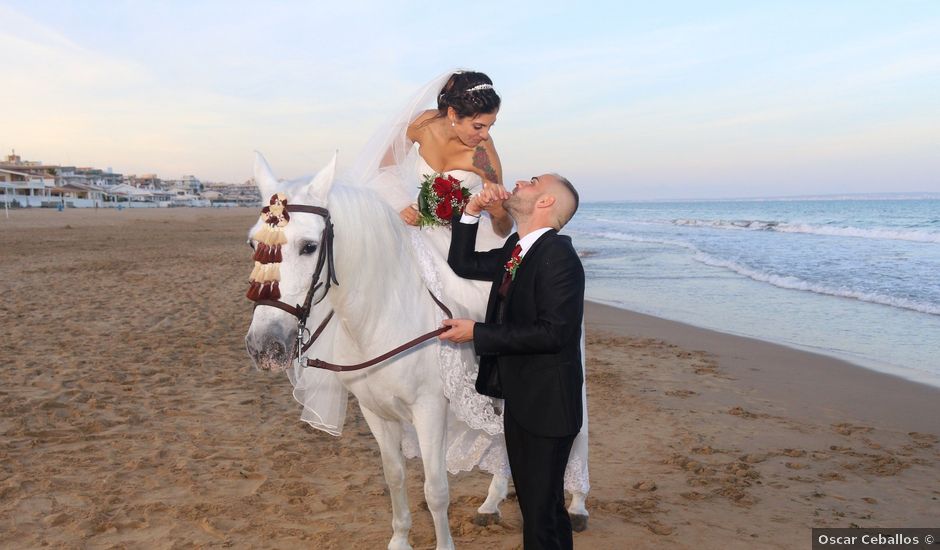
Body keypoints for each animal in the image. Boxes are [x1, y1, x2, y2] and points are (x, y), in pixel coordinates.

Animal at [246, 155, 584, 550]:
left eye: (309, 247)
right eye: (253, 244)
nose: (264, 346)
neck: (381, 315)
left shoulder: (430, 411)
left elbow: (435, 490)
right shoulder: (376, 412)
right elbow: (394, 477)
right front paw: (400, 539)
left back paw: (578, 505)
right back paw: (491, 503)